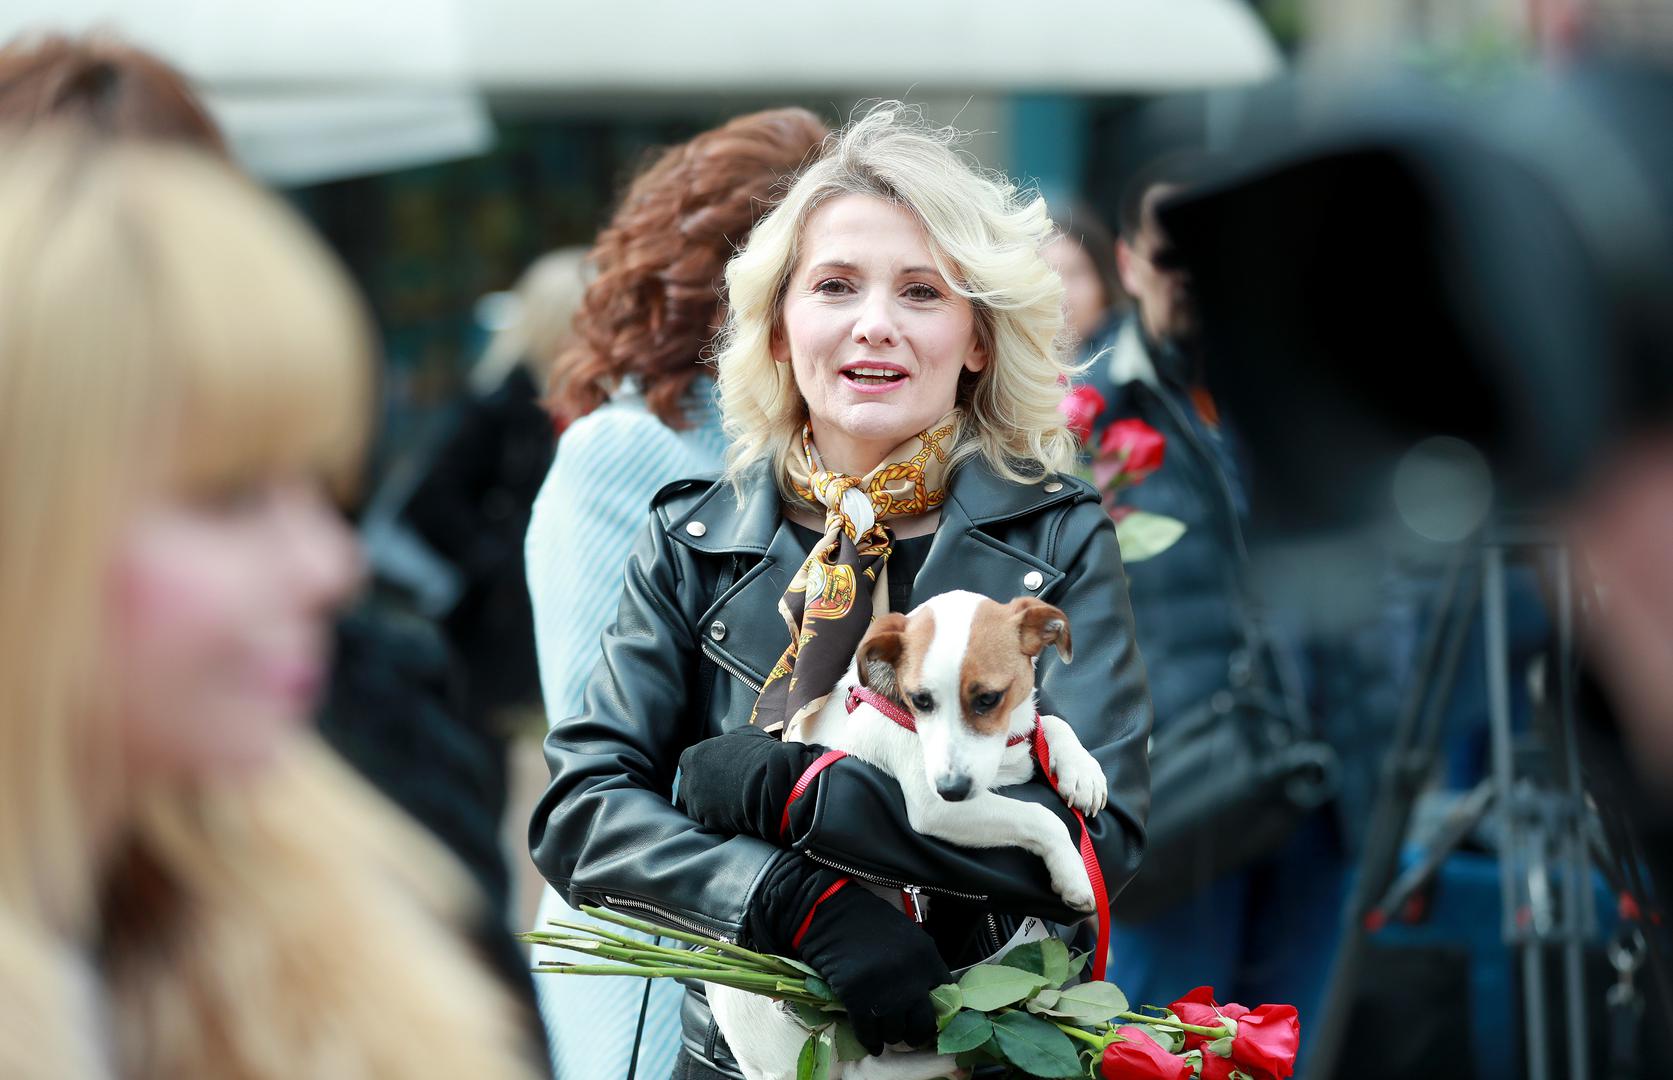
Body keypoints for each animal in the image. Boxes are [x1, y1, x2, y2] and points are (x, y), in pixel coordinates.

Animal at [707, 591, 1108, 1080]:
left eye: (988, 698)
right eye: (920, 701)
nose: (952, 787)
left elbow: (1046, 725)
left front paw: (1082, 770)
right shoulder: (936, 807)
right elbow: (1040, 816)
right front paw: (1074, 876)